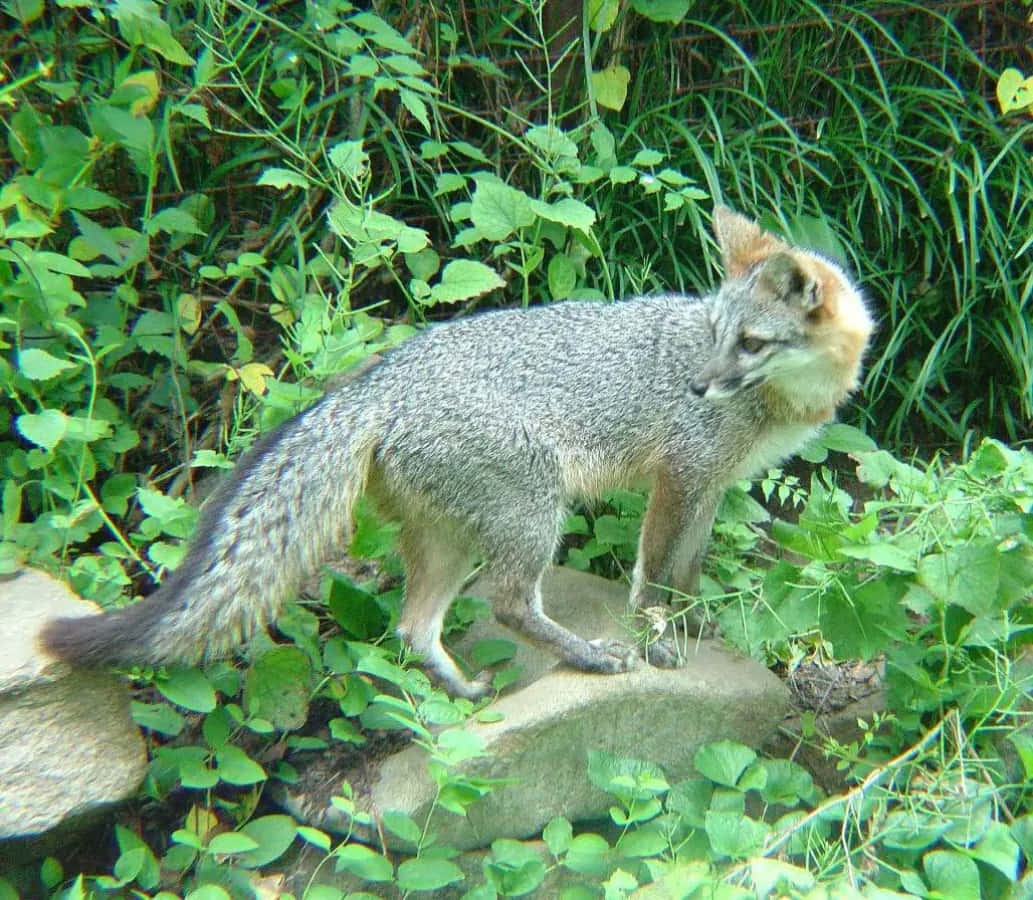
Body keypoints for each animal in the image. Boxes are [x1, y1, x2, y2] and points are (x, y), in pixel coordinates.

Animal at [39, 207, 873, 700]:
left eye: (749, 342)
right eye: (713, 335)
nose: (699, 386)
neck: (784, 405)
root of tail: (379, 378)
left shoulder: (711, 487)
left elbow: (686, 573)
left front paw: (696, 624)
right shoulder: (681, 479)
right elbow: (650, 581)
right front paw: (657, 640)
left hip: (447, 537)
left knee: (413, 628)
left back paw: (464, 693)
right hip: (532, 515)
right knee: (506, 603)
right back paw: (585, 657)